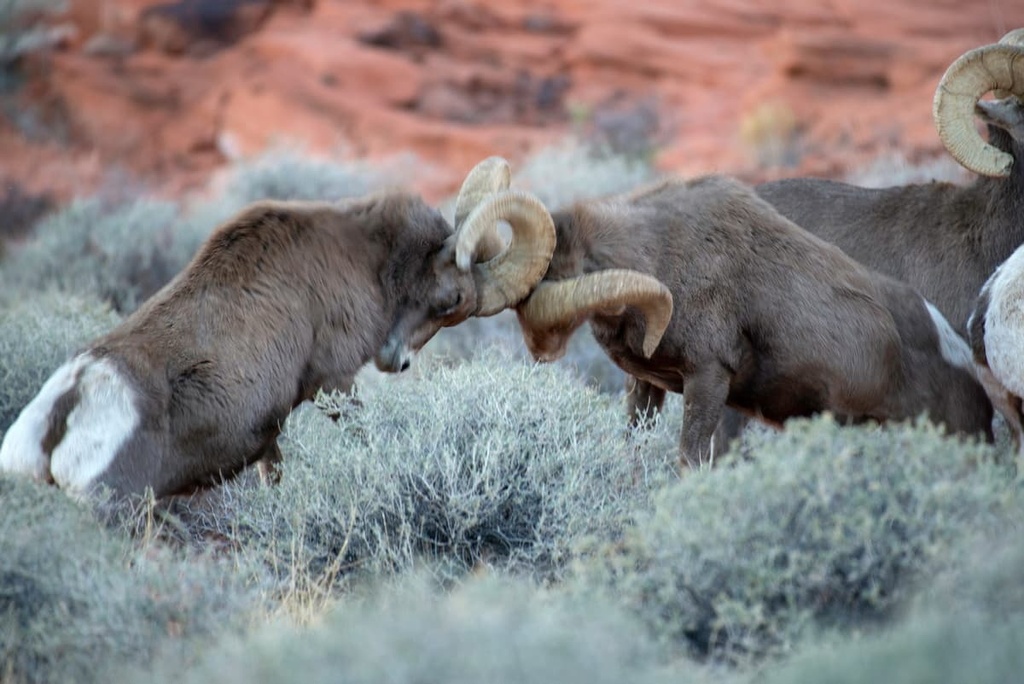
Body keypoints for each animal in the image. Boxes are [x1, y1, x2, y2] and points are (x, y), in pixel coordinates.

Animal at [0, 161, 554, 499]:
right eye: (452, 302)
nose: (397, 362)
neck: (368, 260)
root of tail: (74, 402)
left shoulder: (271, 432)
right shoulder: (334, 383)